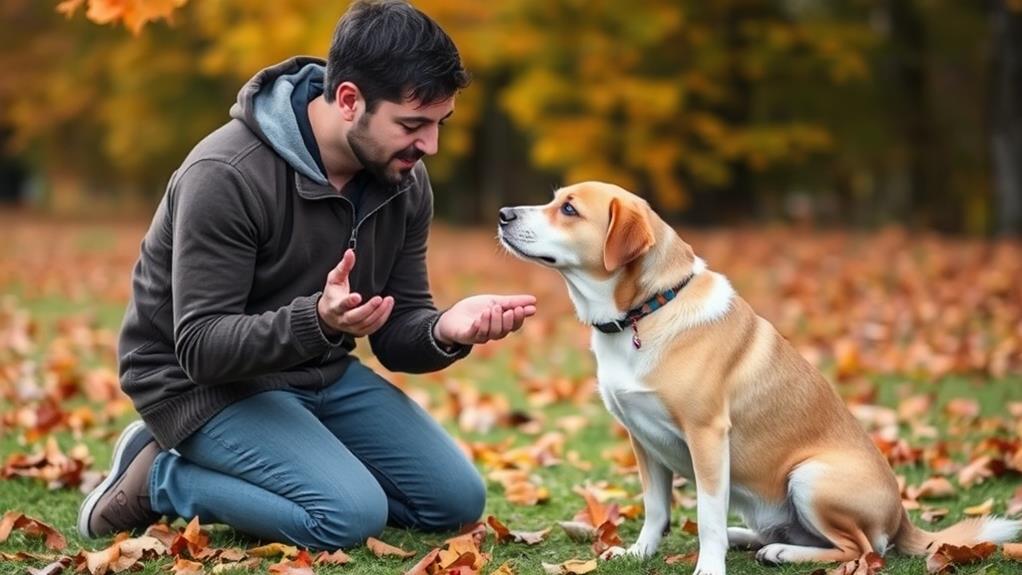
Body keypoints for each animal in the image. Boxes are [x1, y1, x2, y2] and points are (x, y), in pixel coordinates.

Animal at [496, 183, 1021, 575]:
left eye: (568, 209)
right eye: (555, 199)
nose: (502, 213)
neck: (647, 311)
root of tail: (904, 517)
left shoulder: (707, 436)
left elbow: (707, 512)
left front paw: (709, 566)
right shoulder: (641, 439)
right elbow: (656, 509)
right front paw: (641, 552)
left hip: (811, 476)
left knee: (865, 548)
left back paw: (782, 552)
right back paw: (746, 538)